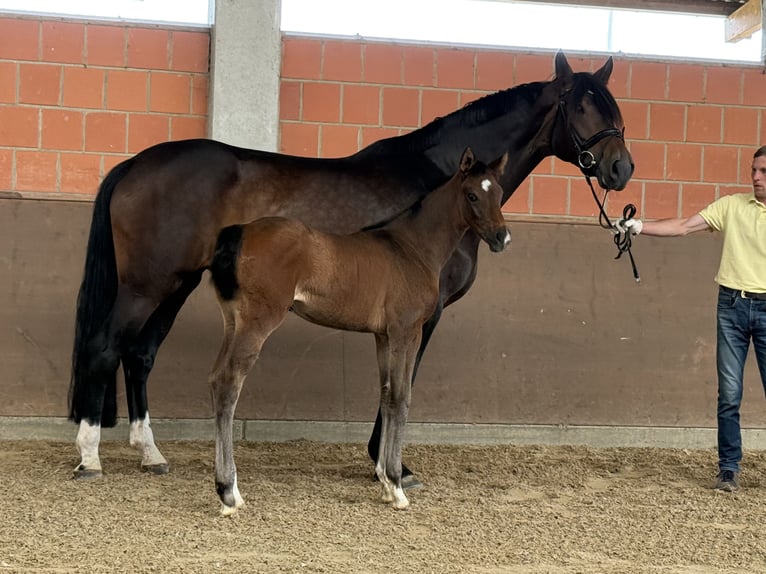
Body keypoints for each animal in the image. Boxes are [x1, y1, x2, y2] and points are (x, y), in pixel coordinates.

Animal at [208, 147, 509, 514]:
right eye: (472, 194)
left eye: (499, 193)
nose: (502, 237)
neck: (411, 249)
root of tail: (239, 232)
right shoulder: (406, 332)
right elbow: (402, 396)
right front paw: (396, 484)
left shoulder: (382, 336)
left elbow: (385, 395)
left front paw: (384, 480)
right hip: (258, 322)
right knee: (229, 384)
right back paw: (228, 492)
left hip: (232, 321)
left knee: (215, 379)